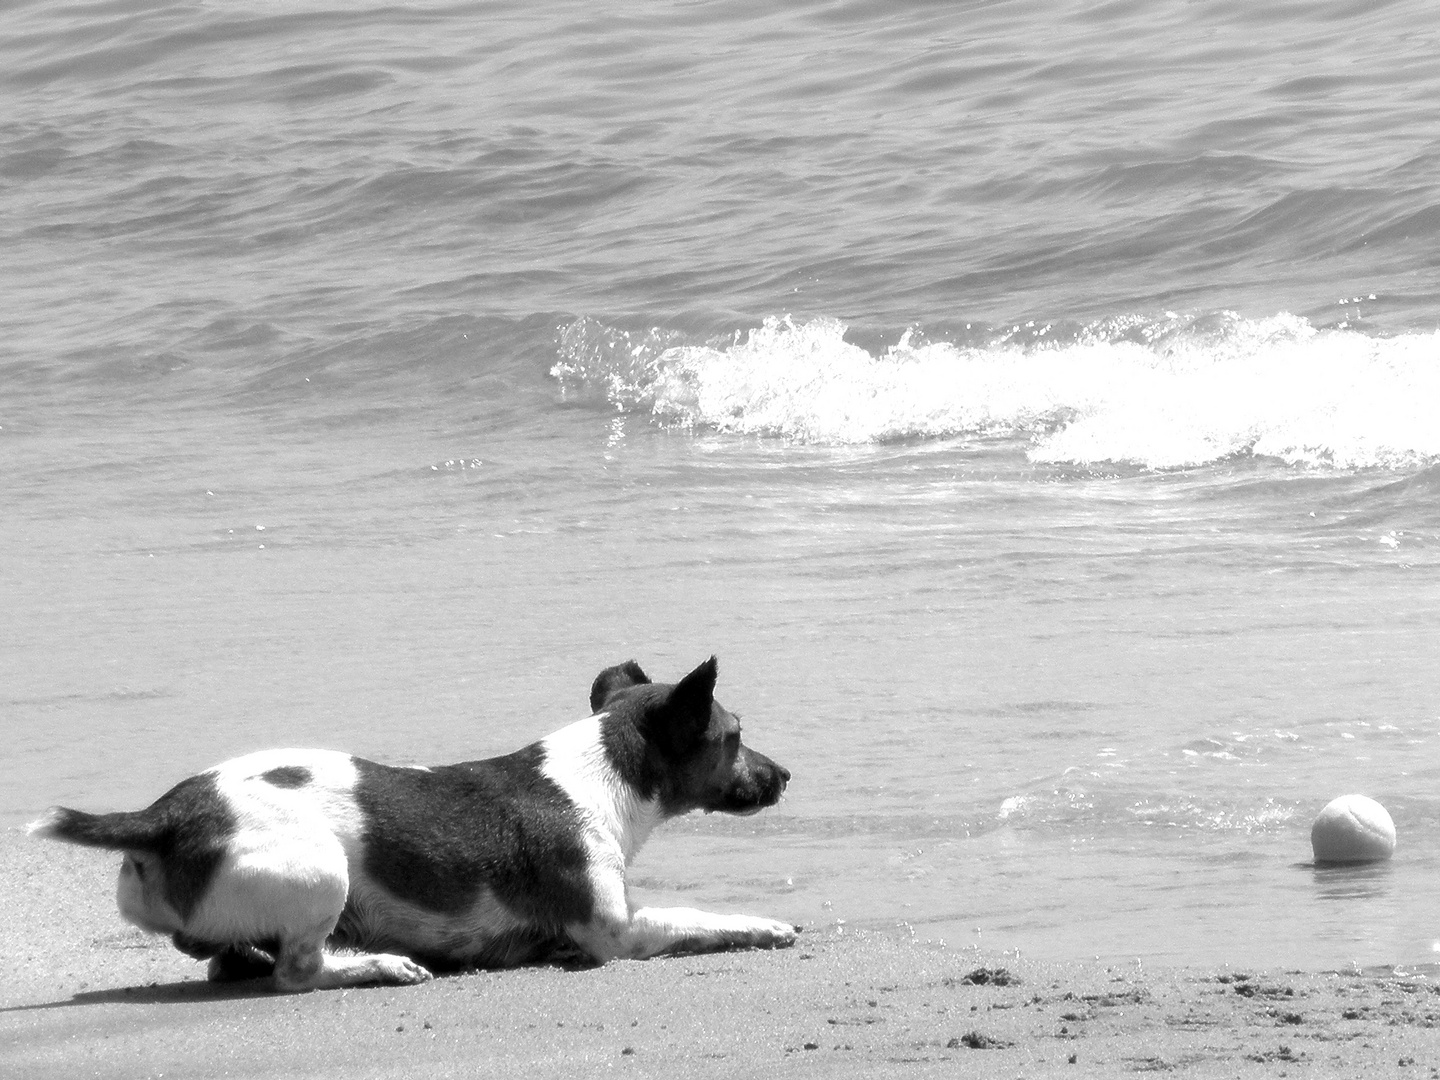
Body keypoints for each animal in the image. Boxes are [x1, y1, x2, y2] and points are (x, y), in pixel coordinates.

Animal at [28, 656, 800, 996]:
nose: (787, 775)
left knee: (226, 958)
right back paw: (377, 964)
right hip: (319, 869)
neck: (598, 771)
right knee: (296, 973)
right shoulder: (615, 933)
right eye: (735, 735)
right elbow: (699, 918)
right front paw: (765, 925)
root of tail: (160, 818)